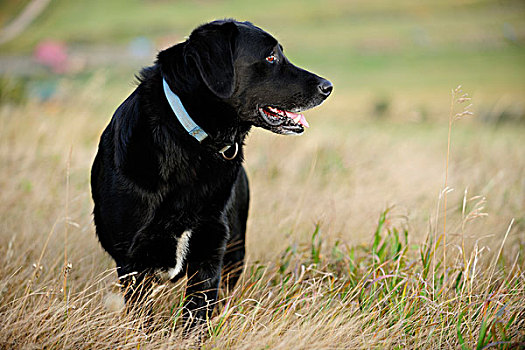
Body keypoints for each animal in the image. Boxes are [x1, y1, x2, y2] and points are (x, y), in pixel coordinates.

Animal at [89, 18, 328, 326]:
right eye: (271, 57)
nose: (328, 86)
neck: (190, 142)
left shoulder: (211, 250)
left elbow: (197, 317)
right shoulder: (132, 262)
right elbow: (145, 321)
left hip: (236, 249)